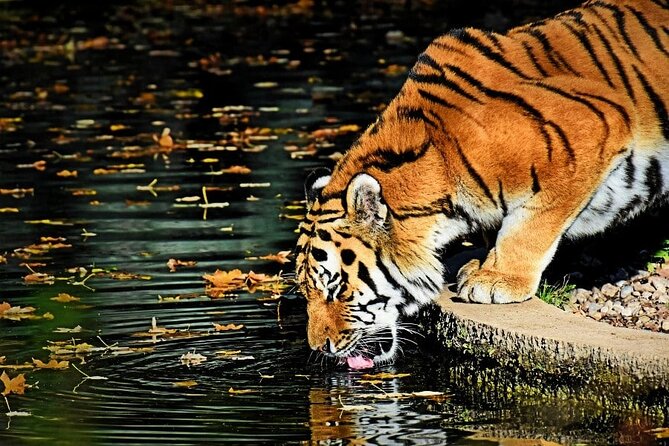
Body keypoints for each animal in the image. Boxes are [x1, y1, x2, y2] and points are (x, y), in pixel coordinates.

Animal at [295, 0, 669, 368]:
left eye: (335, 290)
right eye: (305, 291)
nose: (319, 347)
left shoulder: (592, 128)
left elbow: (530, 226)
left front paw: (499, 279)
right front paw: (482, 264)